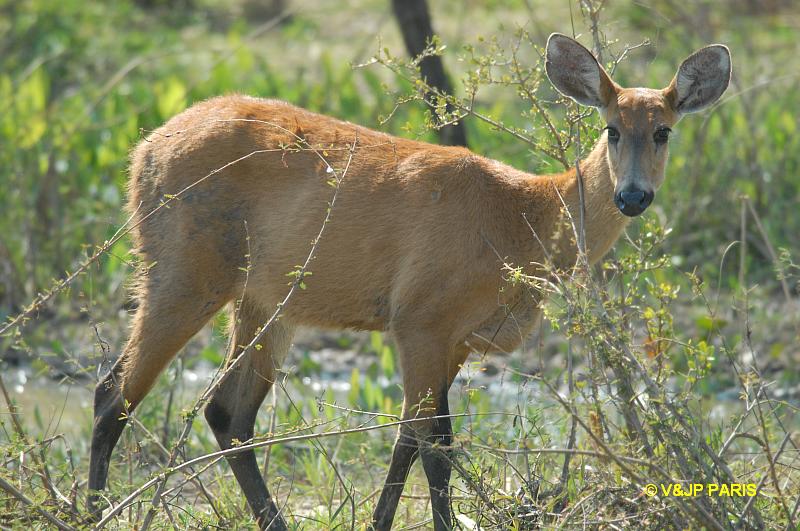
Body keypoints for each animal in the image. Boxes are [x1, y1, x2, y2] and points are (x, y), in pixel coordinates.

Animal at [89, 35, 732, 528]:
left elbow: (409, 441)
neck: (522, 218)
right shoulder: (419, 319)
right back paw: (92, 509)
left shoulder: (455, 338)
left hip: (265, 301)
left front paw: (379, 522)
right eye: (612, 129)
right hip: (183, 273)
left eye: (664, 131)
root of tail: (144, 150)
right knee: (113, 394)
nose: (633, 197)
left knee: (226, 411)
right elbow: (435, 447)